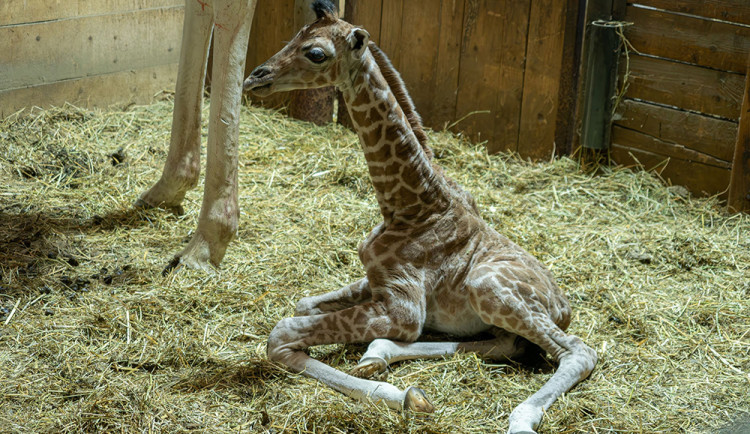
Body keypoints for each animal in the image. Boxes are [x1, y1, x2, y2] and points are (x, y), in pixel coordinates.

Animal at [247, 1, 600, 432]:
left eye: (316, 53)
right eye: (294, 36)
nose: (255, 77)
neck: (407, 205)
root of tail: (565, 308)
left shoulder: (404, 310)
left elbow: (280, 335)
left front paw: (404, 397)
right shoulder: (376, 283)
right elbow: (302, 304)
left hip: (488, 285)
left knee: (578, 351)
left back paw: (520, 418)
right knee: (506, 344)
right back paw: (376, 354)